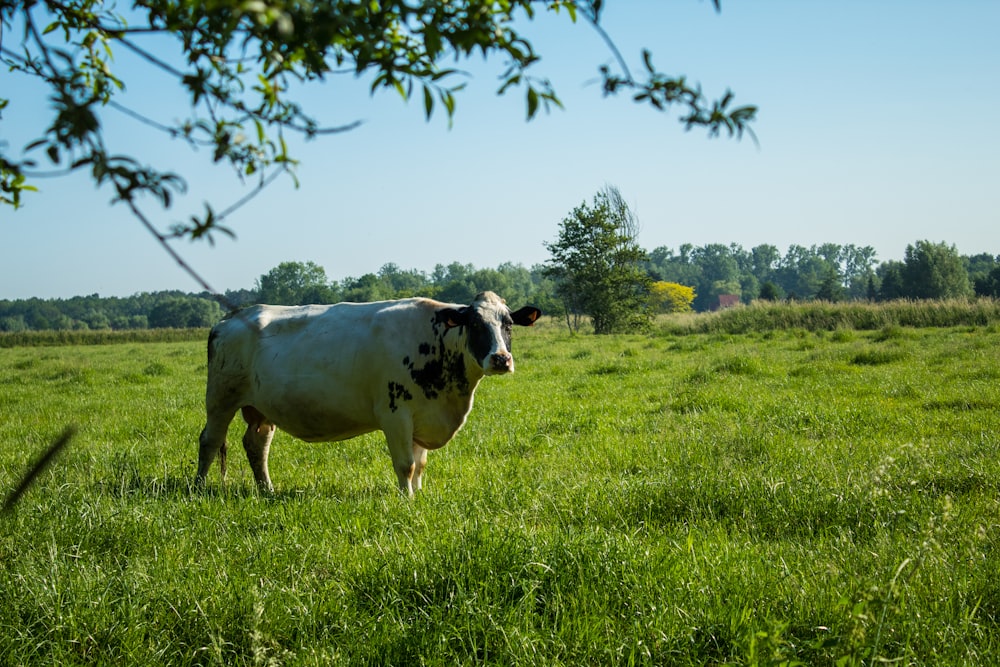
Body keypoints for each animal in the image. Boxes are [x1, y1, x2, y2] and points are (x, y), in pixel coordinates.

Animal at [195, 292, 540, 496]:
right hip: (220, 397)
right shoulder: (395, 413)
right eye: (475, 324)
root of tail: (230, 317)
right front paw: (407, 499)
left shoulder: (422, 415)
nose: (501, 359)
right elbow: (406, 464)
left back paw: (267, 489)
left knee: (257, 444)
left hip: (261, 407)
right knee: (210, 440)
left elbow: (420, 464)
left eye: (509, 324)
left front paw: (419, 494)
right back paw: (198, 487)